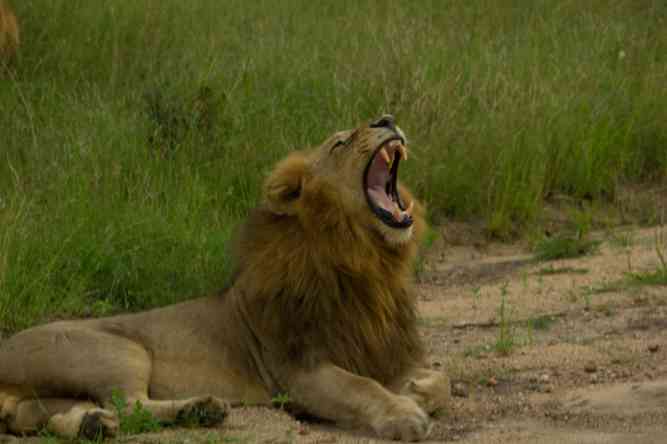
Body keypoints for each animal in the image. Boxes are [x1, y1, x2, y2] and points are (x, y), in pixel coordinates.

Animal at [0, 115, 450, 441]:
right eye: (339, 143)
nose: (387, 118)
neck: (366, 258)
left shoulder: (380, 350)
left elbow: (441, 379)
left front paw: (417, 389)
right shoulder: (297, 369)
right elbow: (361, 387)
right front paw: (403, 413)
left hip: (54, 393)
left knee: (45, 415)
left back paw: (106, 422)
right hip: (117, 351)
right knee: (128, 405)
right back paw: (200, 408)